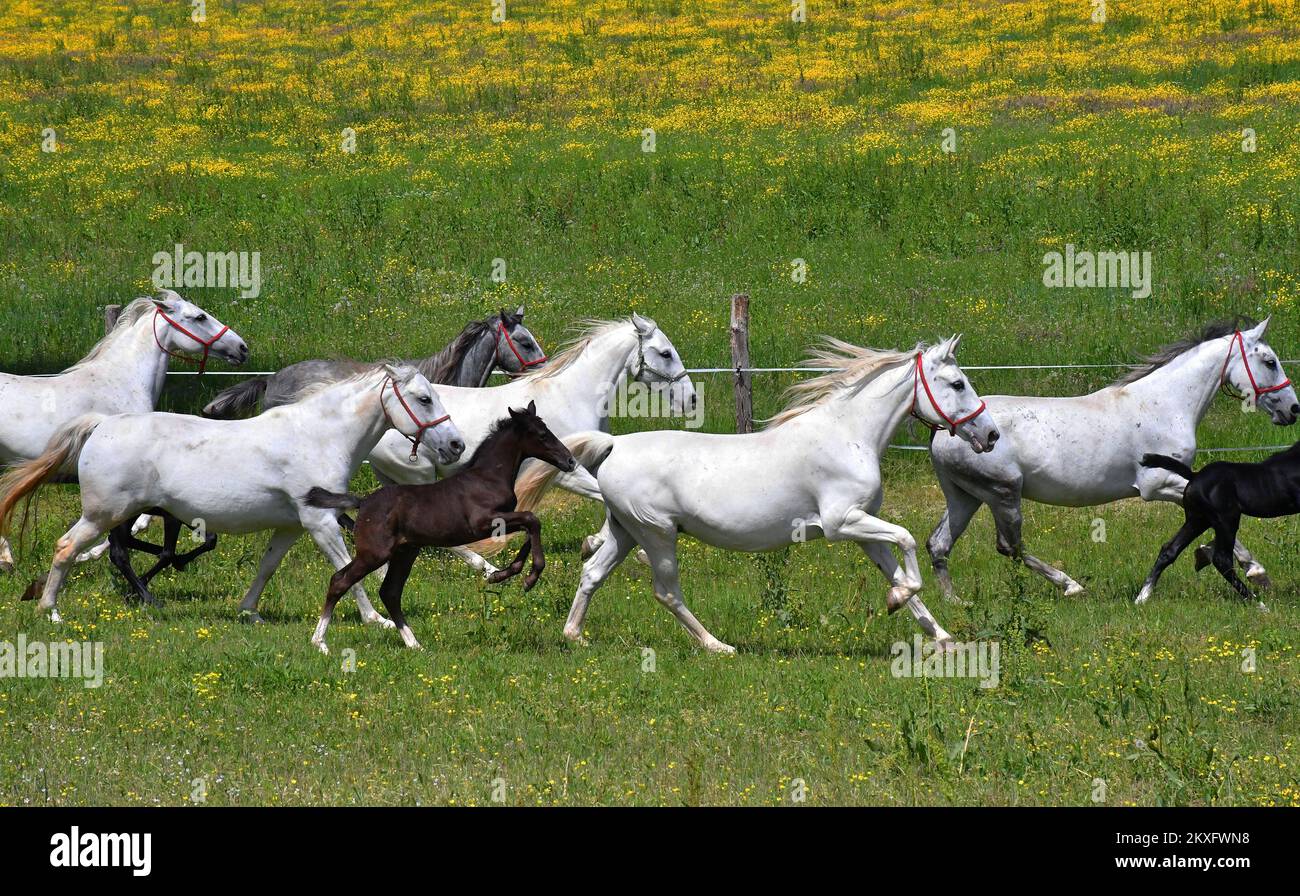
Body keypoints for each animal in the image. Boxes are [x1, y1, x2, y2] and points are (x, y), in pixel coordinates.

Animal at [0, 293, 248, 572]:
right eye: (199, 317)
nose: (242, 348)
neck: (123, 381)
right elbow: (133, 524)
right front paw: (91, 554)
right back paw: (7, 560)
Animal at [0, 364, 465, 629]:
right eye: (424, 398)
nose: (456, 445)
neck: (317, 437)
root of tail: (101, 424)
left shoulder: (293, 526)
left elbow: (267, 567)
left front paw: (249, 612)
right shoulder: (321, 523)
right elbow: (346, 569)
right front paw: (376, 620)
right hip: (104, 514)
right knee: (67, 548)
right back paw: (51, 611)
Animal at [304, 400, 574, 650]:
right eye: (542, 434)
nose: (569, 461)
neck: (487, 478)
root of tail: (363, 502)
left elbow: (529, 527)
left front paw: (501, 575)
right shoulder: (482, 523)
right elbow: (531, 520)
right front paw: (530, 577)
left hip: (405, 552)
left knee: (390, 592)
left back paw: (414, 644)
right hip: (375, 553)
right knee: (340, 580)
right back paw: (320, 642)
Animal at [514, 335, 993, 650]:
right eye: (957, 384)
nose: (989, 435)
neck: (848, 434)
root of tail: (615, 445)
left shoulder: (863, 531)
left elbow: (899, 573)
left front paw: (942, 637)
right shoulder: (842, 522)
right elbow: (908, 541)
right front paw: (899, 602)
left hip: (625, 529)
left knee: (592, 572)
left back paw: (575, 636)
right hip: (656, 533)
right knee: (666, 591)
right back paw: (717, 646)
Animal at [930, 318, 1294, 603]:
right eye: (1270, 362)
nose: (1293, 409)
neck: (1164, 405)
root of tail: (943, 431)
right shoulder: (1160, 484)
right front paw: (1257, 572)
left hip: (967, 497)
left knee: (939, 544)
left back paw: (953, 603)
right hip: (1003, 493)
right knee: (1009, 546)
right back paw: (1071, 586)